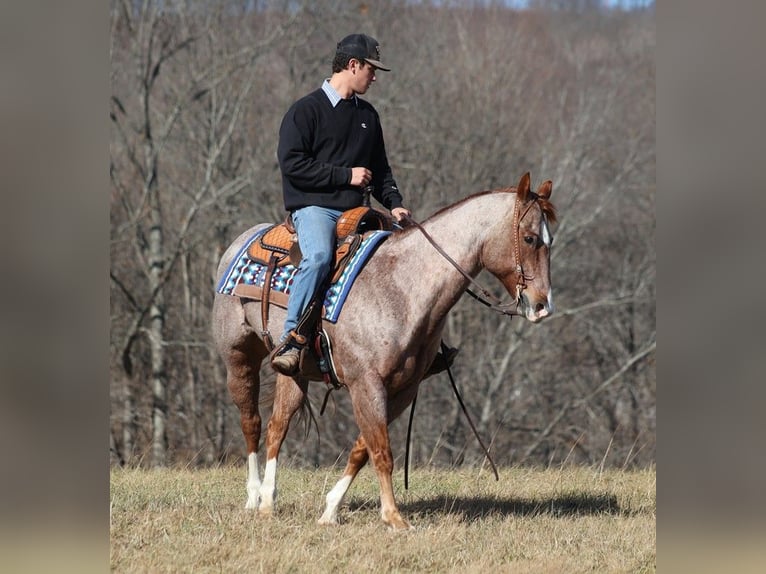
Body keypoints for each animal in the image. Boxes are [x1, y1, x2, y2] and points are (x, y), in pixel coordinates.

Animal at [212, 172, 560, 532]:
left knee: (278, 425)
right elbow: (382, 452)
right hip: (238, 356)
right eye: (530, 238)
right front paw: (393, 516)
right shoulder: (366, 385)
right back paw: (253, 497)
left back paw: (268, 501)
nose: (542, 306)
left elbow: (362, 449)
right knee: (251, 421)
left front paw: (331, 509)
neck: (402, 287)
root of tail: (244, 239)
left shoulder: (403, 389)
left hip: (294, 372)